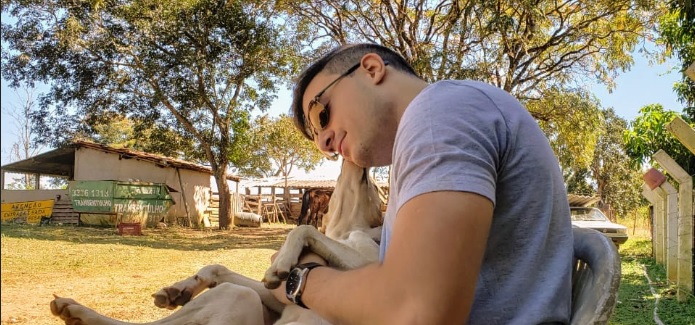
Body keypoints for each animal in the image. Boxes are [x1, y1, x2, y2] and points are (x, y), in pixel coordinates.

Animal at [49, 160, 386, 324]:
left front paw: (281, 262)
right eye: (371, 185)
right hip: (240, 299)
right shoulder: (278, 298)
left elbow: (303, 229)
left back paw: (75, 312)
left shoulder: (366, 265)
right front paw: (181, 288)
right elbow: (219, 268)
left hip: (237, 299)